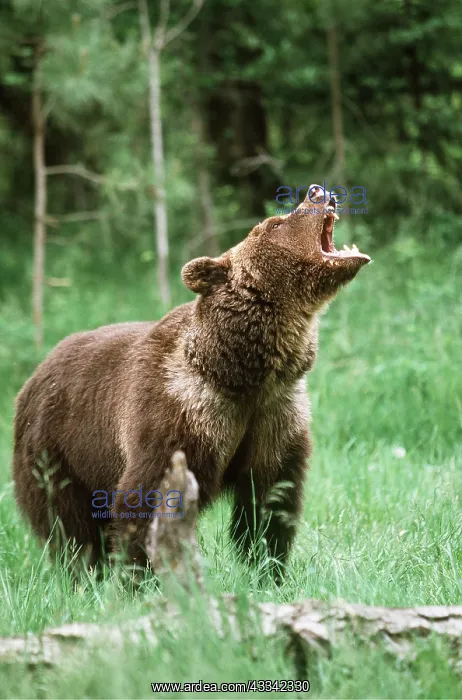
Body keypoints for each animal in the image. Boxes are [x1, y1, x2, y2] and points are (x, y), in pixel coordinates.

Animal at [12, 185, 370, 576]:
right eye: (274, 224)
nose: (317, 191)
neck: (241, 375)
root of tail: (34, 374)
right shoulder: (177, 415)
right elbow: (148, 499)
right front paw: (145, 572)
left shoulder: (276, 416)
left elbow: (270, 502)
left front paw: (266, 567)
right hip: (57, 450)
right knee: (69, 526)